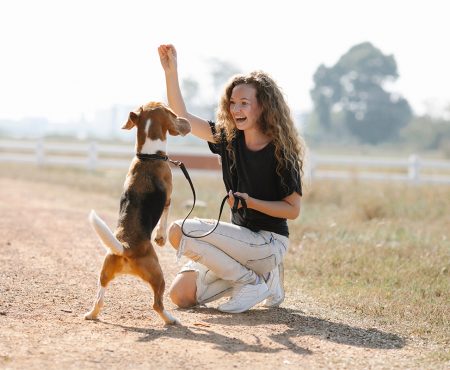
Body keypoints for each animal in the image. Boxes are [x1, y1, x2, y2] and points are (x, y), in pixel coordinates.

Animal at [84, 101, 190, 324]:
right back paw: (170, 319)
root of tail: (125, 247)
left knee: (99, 299)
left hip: (104, 273)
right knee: (157, 304)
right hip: (158, 275)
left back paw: (91, 314)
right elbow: (164, 219)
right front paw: (160, 238)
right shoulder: (168, 198)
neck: (148, 157)